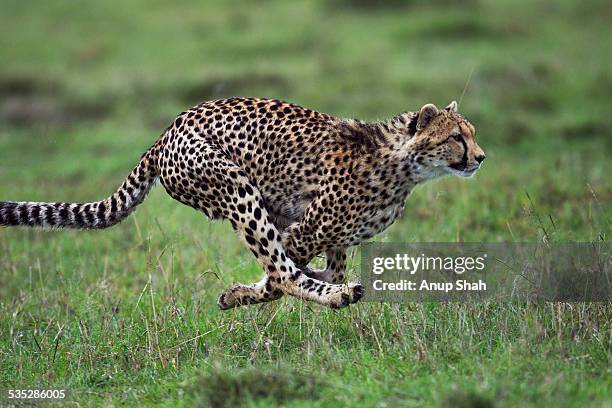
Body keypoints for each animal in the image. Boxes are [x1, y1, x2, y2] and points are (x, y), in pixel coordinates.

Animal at [1, 99, 488, 310]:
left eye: (472, 133)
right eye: (456, 137)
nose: (481, 157)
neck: (404, 164)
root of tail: (167, 130)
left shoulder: (332, 238)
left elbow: (314, 266)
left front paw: (238, 293)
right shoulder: (307, 230)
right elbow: (280, 273)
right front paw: (243, 294)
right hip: (235, 187)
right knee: (282, 269)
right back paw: (336, 296)